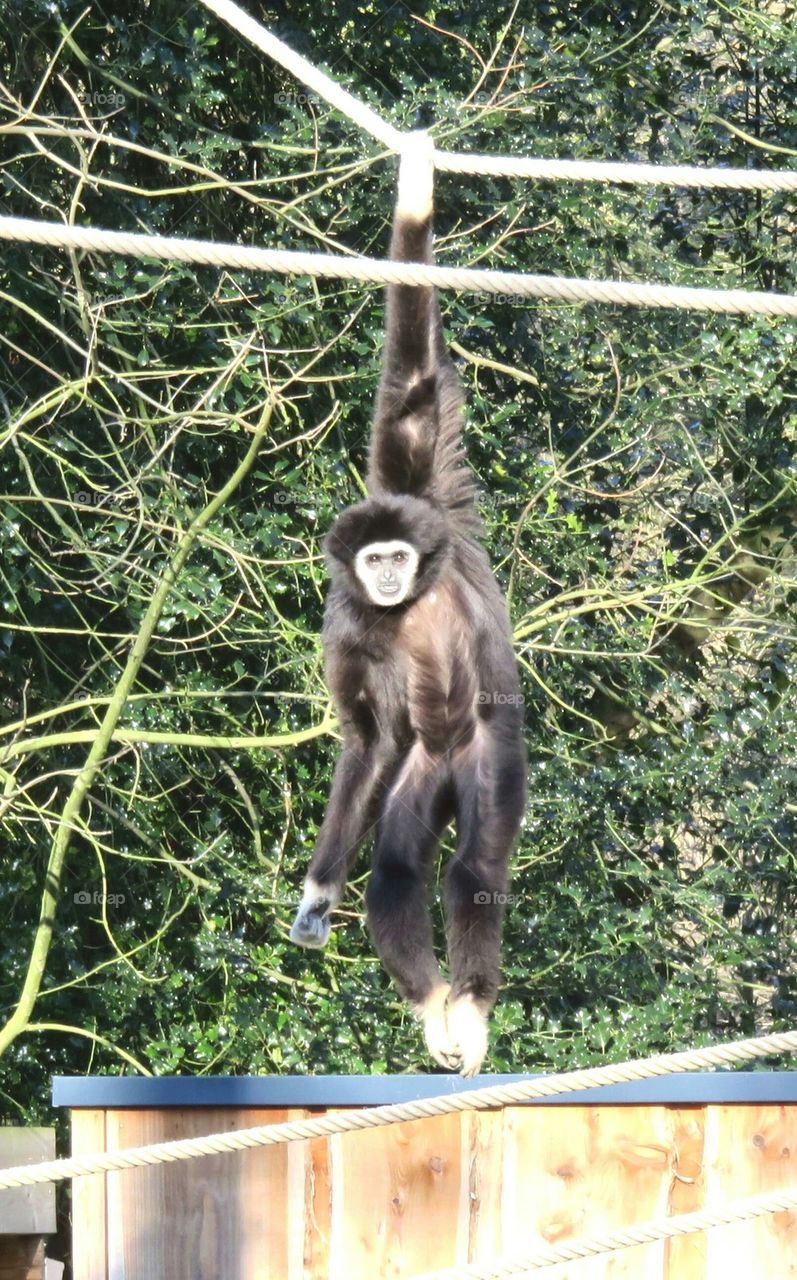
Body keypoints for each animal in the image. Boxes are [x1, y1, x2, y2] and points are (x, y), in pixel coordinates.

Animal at [290, 131, 527, 1076]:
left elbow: (414, 386)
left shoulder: (430, 507)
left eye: (398, 554)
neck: (411, 594)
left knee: (474, 872)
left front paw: (416, 179)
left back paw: (469, 1006)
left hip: (488, 756)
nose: (388, 574)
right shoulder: (346, 625)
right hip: (424, 767)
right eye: (374, 560)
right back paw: (433, 1005)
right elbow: (365, 738)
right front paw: (317, 892)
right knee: (395, 871)